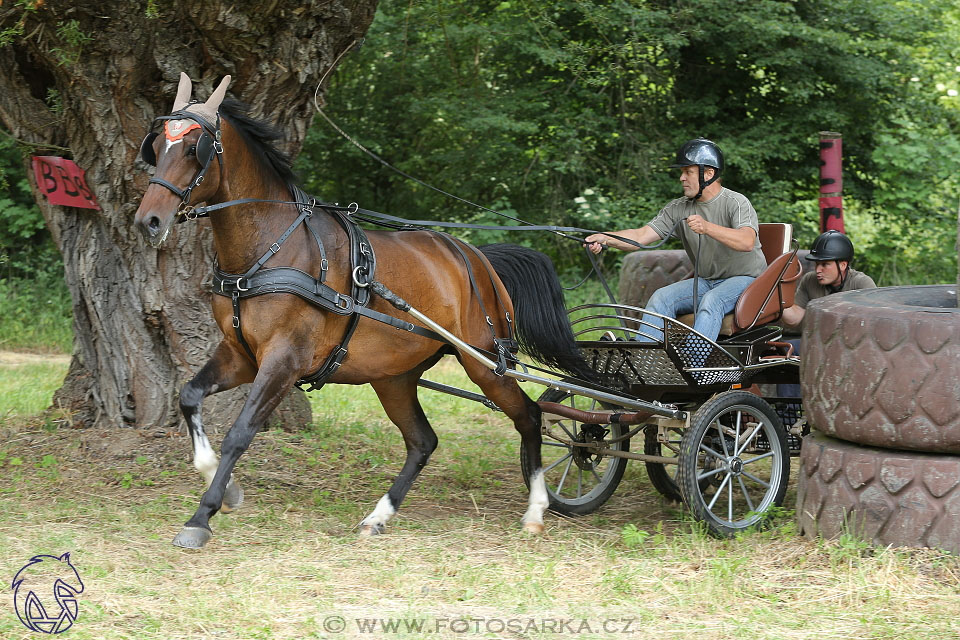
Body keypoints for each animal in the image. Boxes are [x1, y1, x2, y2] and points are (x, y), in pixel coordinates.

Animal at [135, 72, 592, 548]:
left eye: (194, 148)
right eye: (158, 145)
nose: (149, 221)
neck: (271, 247)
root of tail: (479, 258)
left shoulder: (284, 360)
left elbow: (239, 434)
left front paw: (202, 515)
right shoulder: (240, 354)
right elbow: (189, 396)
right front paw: (224, 489)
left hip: (485, 363)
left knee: (530, 416)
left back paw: (536, 508)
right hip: (394, 376)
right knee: (423, 442)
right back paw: (379, 515)